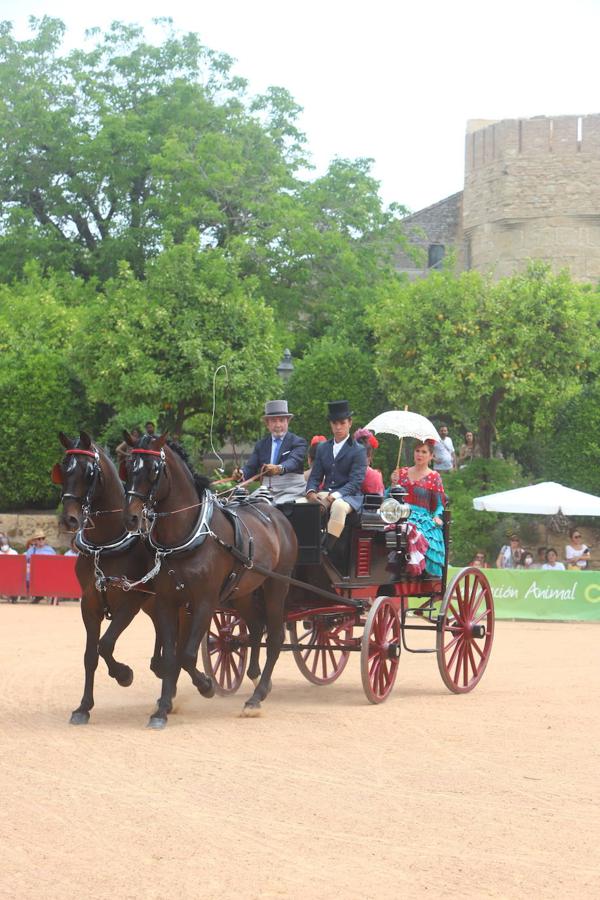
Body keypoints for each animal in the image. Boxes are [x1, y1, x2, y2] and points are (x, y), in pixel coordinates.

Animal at [54, 430, 164, 724]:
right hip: (154, 602)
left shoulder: (131, 600)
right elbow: (90, 655)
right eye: (63, 469)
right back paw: (159, 664)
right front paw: (83, 707)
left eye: (89, 472)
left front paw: (124, 674)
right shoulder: (89, 602)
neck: (105, 544)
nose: (69, 520)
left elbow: (105, 645)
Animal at [123, 432, 298, 728]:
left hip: (277, 585)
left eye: (154, 470)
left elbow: (187, 655)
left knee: (275, 636)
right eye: (128, 466)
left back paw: (257, 697)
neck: (188, 536)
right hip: (242, 592)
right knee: (255, 626)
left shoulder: (204, 602)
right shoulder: (168, 602)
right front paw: (162, 710)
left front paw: (205, 685)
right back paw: (254, 675)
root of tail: (276, 515)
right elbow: (171, 656)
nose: (132, 517)